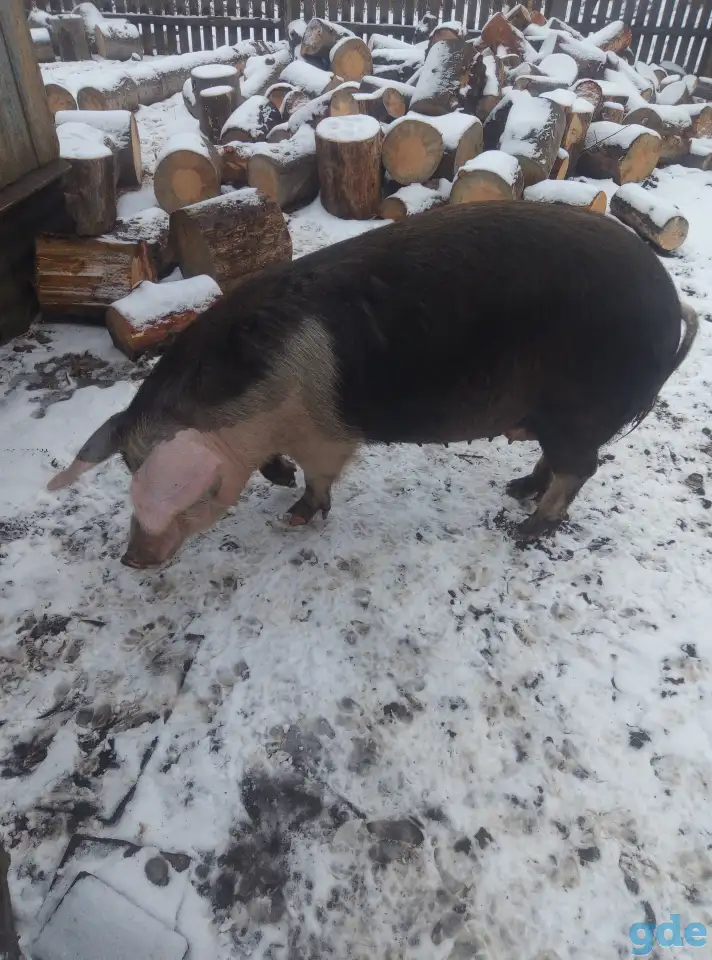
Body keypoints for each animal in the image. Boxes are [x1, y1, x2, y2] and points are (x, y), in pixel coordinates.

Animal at [47, 202, 697, 568]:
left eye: (183, 491)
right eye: (129, 473)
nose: (133, 561)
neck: (253, 412)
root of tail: (673, 302)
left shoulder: (325, 434)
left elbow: (319, 478)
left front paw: (293, 516)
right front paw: (278, 481)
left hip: (578, 406)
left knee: (580, 469)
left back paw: (525, 529)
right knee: (558, 463)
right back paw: (516, 490)